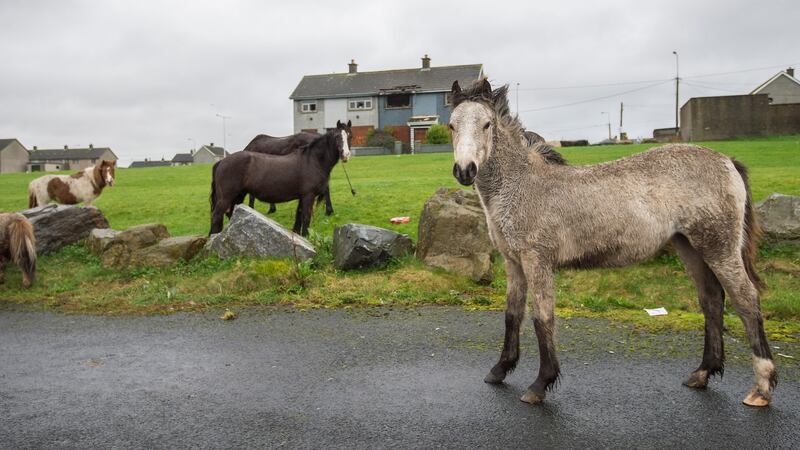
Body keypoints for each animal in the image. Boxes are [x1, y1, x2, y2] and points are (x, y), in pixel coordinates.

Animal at [211, 121, 352, 237]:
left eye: (350, 136)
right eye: (337, 136)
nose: (346, 155)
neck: (312, 160)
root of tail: (222, 161)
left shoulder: (302, 197)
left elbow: (298, 217)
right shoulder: (308, 196)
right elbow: (306, 218)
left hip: (238, 196)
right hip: (226, 198)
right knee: (216, 216)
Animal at [454, 78, 780, 408]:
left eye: (486, 124)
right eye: (452, 124)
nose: (465, 170)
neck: (523, 184)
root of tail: (728, 161)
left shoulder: (537, 261)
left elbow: (542, 317)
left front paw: (540, 383)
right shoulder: (513, 262)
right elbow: (512, 314)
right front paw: (500, 369)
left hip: (718, 248)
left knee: (746, 300)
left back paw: (761, 388)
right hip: (690, 247)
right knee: (712, 300)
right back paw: (702, 373)